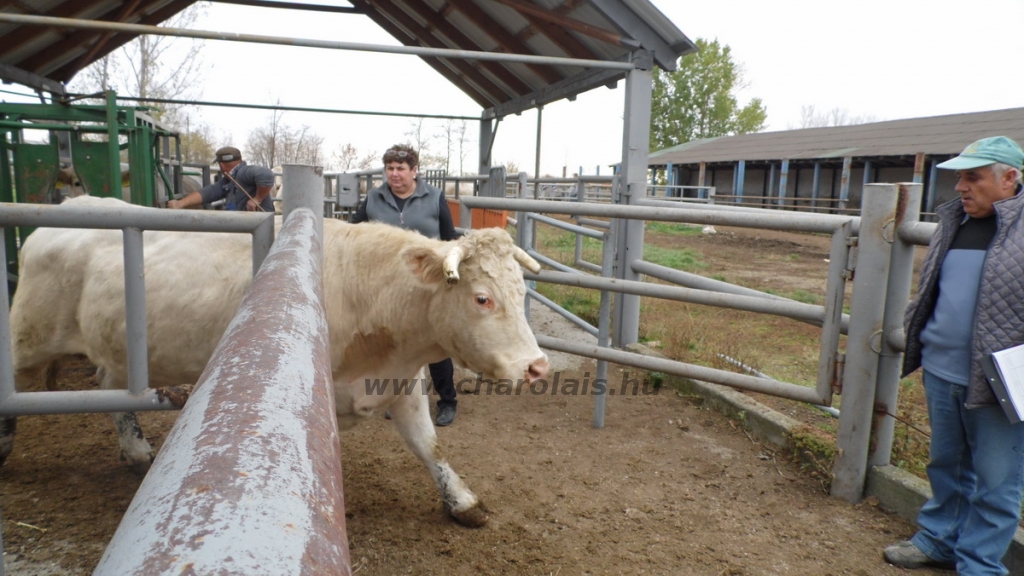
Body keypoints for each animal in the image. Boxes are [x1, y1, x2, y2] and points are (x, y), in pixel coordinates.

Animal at [4, 193, 548, 524]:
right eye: (482, 298)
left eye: (522, 291)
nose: (537, 367)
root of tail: (67, 207)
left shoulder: (403, 384)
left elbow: (429, 446)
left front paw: (462, 501)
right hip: (29, 336)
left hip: (118, 348)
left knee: (113, 388)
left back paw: (136, 449)